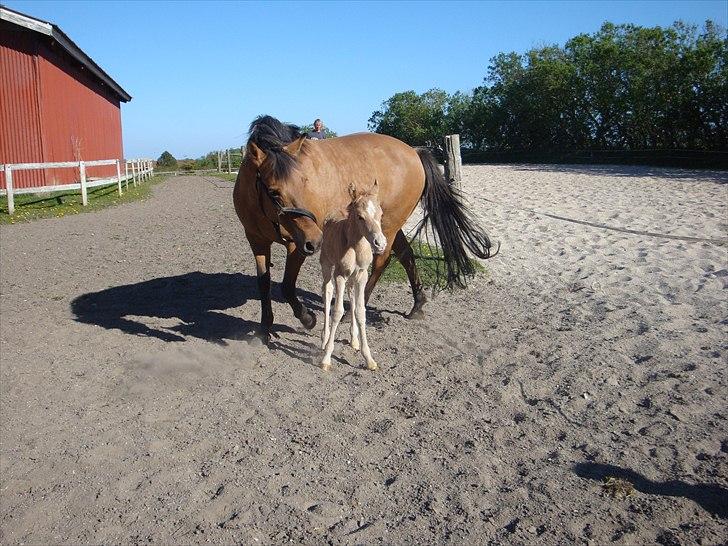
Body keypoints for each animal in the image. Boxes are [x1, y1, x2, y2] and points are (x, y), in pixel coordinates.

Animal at [233, 115, 494, 342]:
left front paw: (308, 318)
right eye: (274, 191)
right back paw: (417, 304)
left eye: (304, 182)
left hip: (387, 226)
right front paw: (264, 327)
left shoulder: (297, 245)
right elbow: (264, 283)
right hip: (385, 224)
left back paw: (351, 313)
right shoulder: (256, 241)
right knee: (406, 255)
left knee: (382, 261)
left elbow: (287, 287)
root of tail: (413, 152)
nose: (316, 240)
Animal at [320, 181, 386, 368]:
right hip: (326, 264)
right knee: (327, 291)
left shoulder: (362, 275)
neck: (356, 246)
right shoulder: (340, 274)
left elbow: (360, 311)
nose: (380, 244)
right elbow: (337, 311)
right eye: (360, 217)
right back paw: (324, 339)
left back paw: (354, 339)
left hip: (353, 277)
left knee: (350, 294)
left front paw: (369, 359)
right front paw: (326, 358)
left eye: (380, 214)